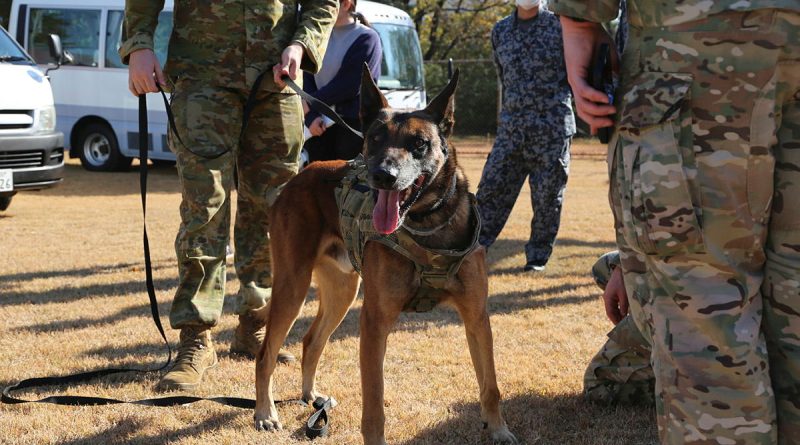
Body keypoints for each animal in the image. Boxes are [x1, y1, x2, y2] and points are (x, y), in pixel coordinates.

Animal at [253, 67, 520, 444]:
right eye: (375, 138)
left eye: (419, 144)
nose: (382, 175)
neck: (427, 224)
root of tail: (302, 175)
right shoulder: (374, 322)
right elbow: (374, 403)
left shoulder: (476, 316)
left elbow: (491, 385)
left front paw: (498, 429)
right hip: (292, 286)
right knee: (266, 354)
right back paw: (265, 413)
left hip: (342, 292)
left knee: (310, 341)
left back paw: (311, 396)